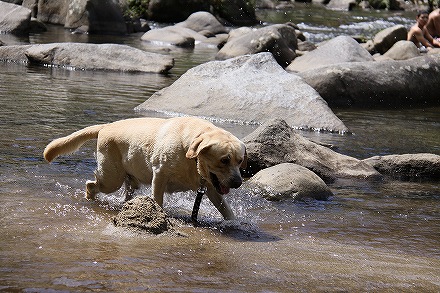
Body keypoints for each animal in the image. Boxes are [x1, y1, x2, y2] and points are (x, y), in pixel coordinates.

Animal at [44, 116, 248, 219]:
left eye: (239, 161)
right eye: (224, 160)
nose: (238, 182)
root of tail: (106, 126)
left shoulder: (211, 187)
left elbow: (226, 210)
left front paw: (233, 224)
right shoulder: (159, 174)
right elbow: (157, 200)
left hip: (128, 179)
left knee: (126, 191)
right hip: (111, 178)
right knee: (91, 185)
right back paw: (90, 198)